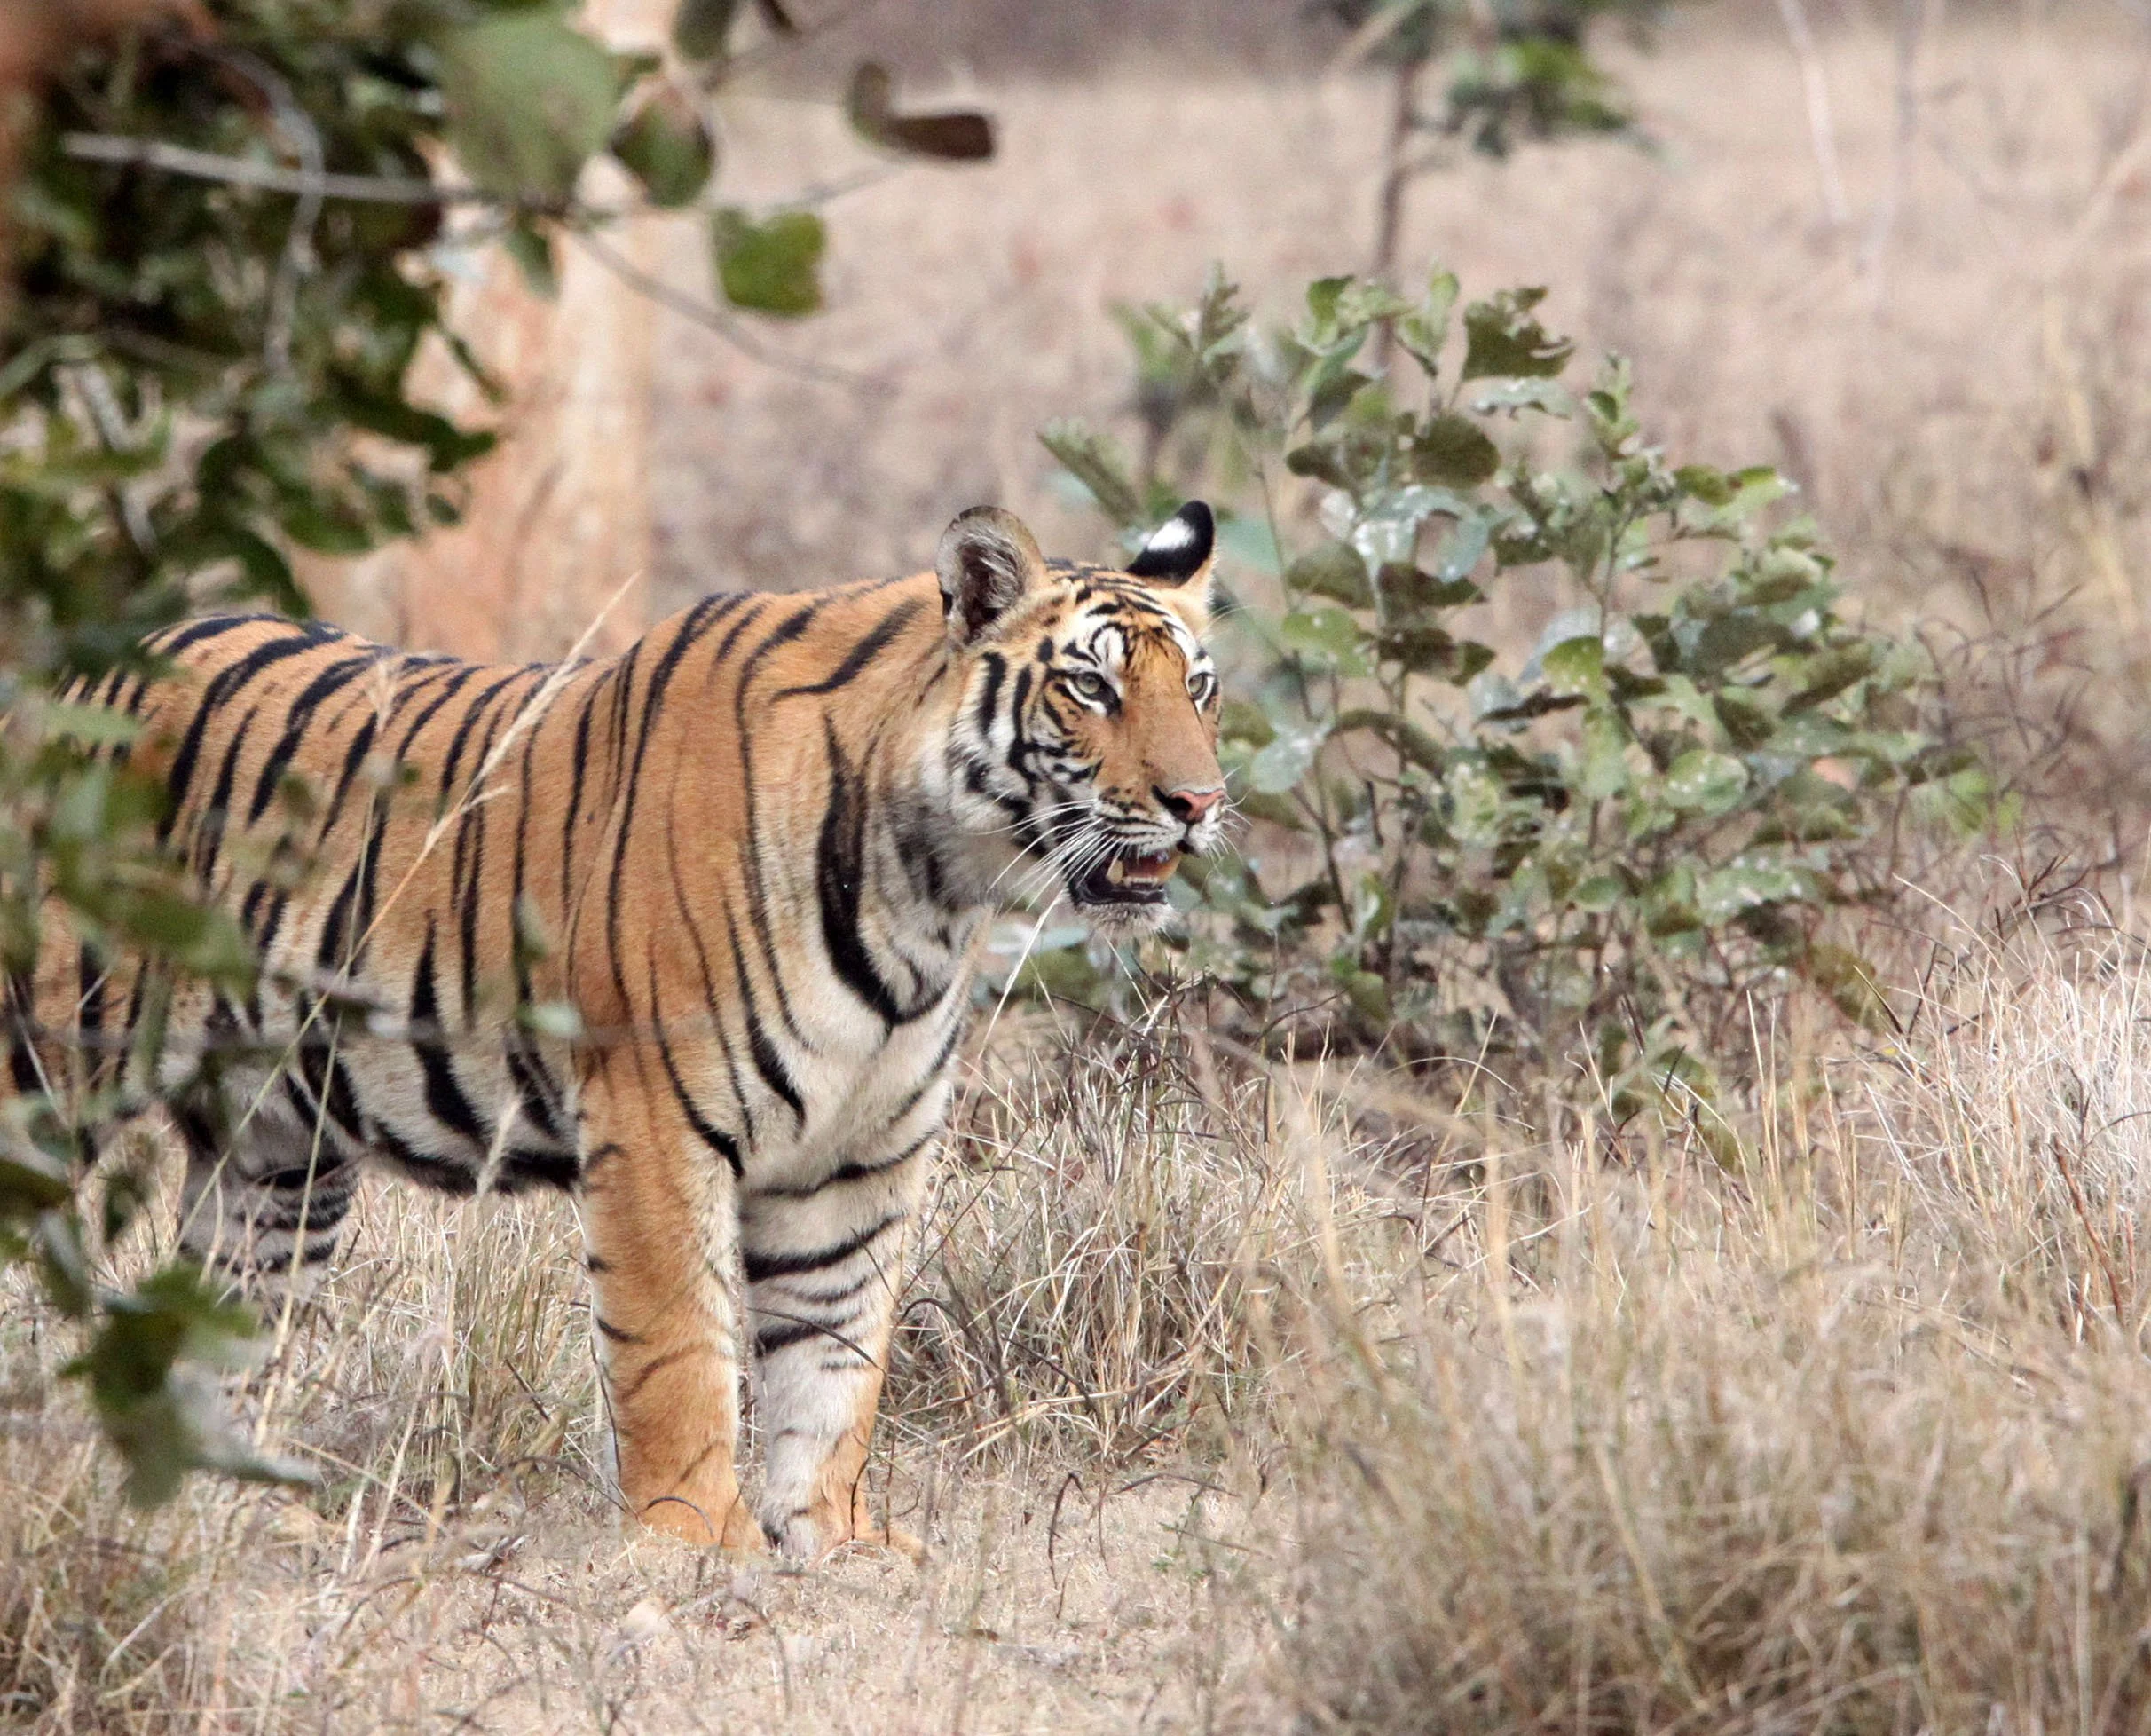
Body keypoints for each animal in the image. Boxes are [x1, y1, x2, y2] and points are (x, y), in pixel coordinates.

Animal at [10, 500, 1227, 1559]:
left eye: (1201, 688)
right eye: (1090, 687)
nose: (1202, 804)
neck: (930, 889)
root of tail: (70, 678)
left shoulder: (857, 1157)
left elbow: (835, 1362)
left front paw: (835, 1539)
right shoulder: (656, 1123)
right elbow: (678, 1348)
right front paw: (696, 1541)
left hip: (275, 1161)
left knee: (214, 1337)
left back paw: (231, 1520)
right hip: (49, 1080)